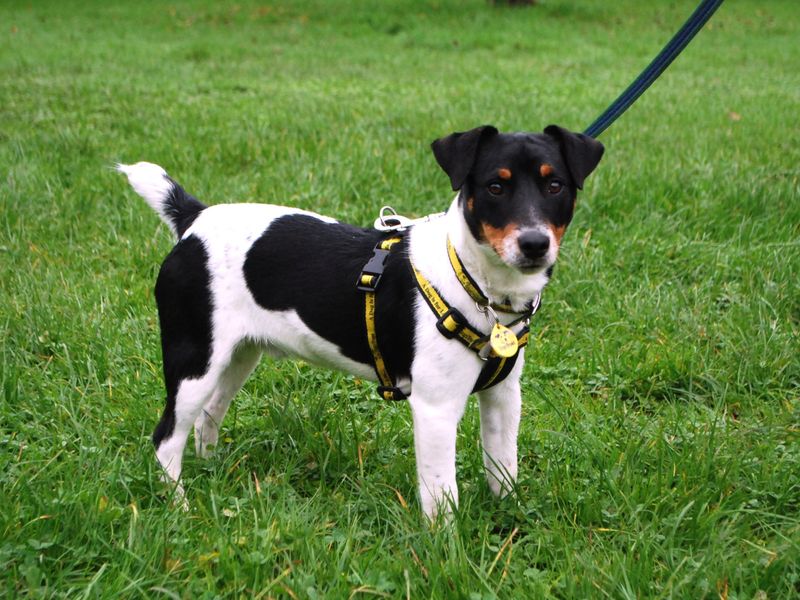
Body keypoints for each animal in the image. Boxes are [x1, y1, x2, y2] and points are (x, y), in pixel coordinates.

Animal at [119, 124, 604, 516]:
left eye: (555, 185)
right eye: (495, 188)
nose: (534, 243)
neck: (476, 284)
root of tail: (194, 220)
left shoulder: (503, 397)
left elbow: (503, 469)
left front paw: (510, 523)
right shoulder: (436, 408)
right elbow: (440, 494)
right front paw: (445, 552)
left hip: (237, 357)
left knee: (208, 416)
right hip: (194, 361)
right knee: (166, 438)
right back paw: (180, 507)